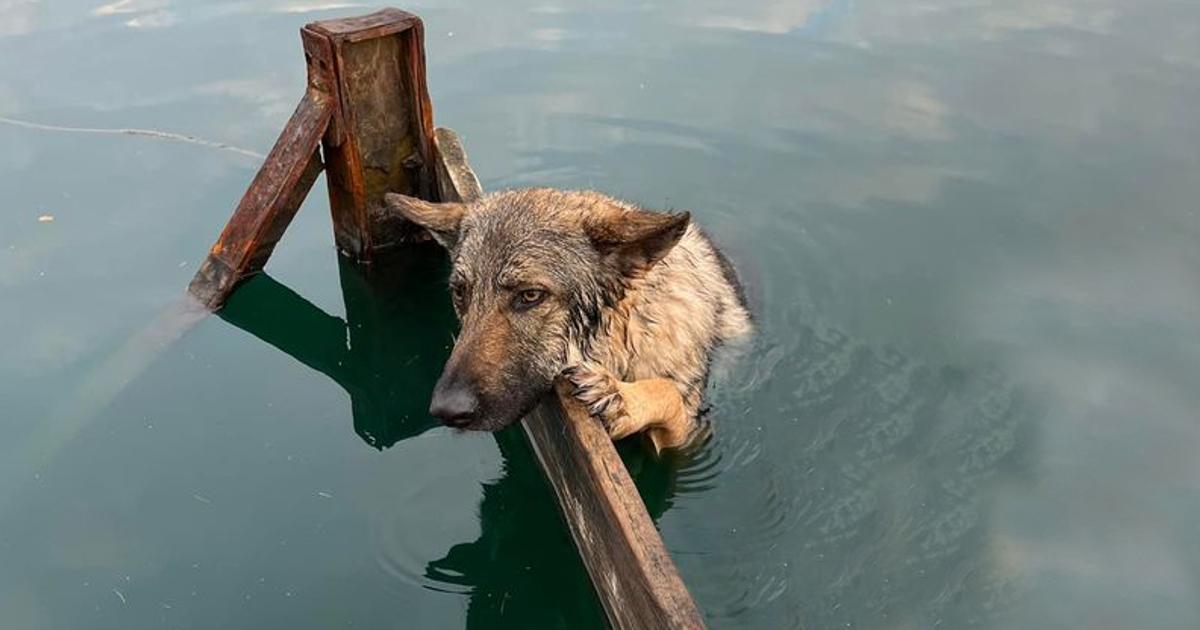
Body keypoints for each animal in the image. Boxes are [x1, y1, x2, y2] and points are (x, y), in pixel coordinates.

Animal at [384, 187, 748, 446]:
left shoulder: (689, 438)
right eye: (461, 293)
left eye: (530, 296)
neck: (625, 333)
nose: (446, 411)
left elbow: (667, 392)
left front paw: (621, 398)